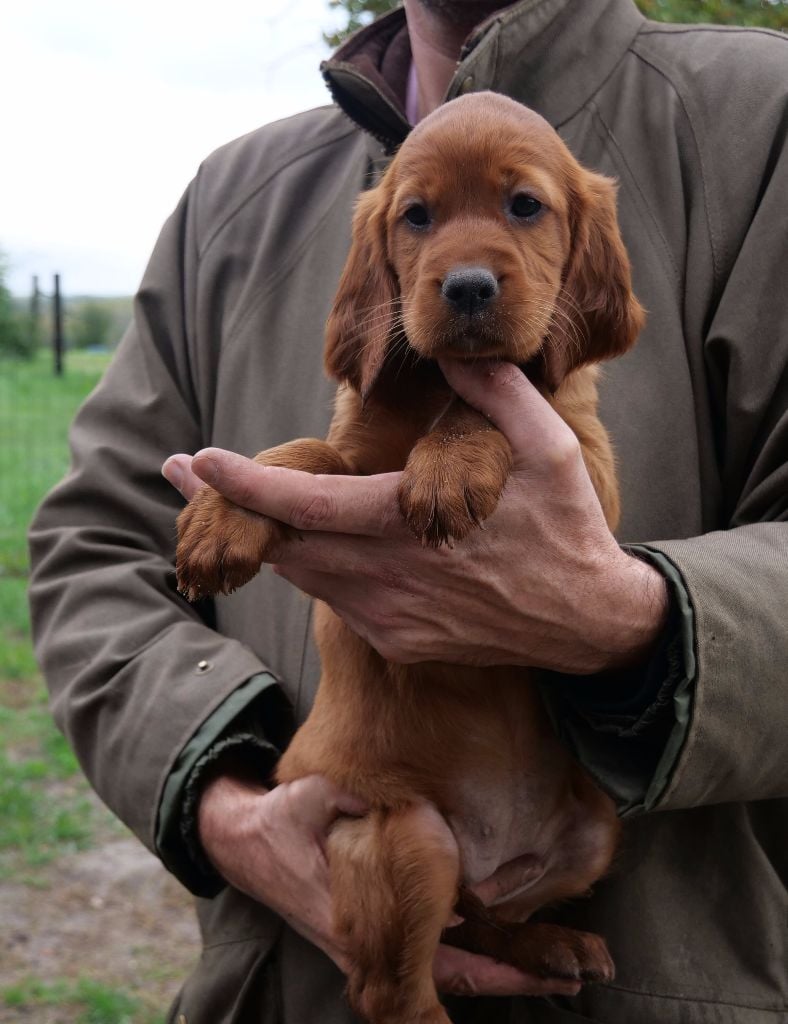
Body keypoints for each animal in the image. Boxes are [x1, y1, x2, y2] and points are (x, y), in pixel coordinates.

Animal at [176, 90, 646, 1024]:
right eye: (417, 217)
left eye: (525, 206)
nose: (465, 287)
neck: (435, 382)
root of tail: (489, 854)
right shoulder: (353, 455)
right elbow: (296, 454)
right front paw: (219, 514)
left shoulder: (586, 467)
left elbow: (497, 400)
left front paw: (453, 461)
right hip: (407, 835)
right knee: (398, 983)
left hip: (595, 830)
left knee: (481, 924)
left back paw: (554, 943)